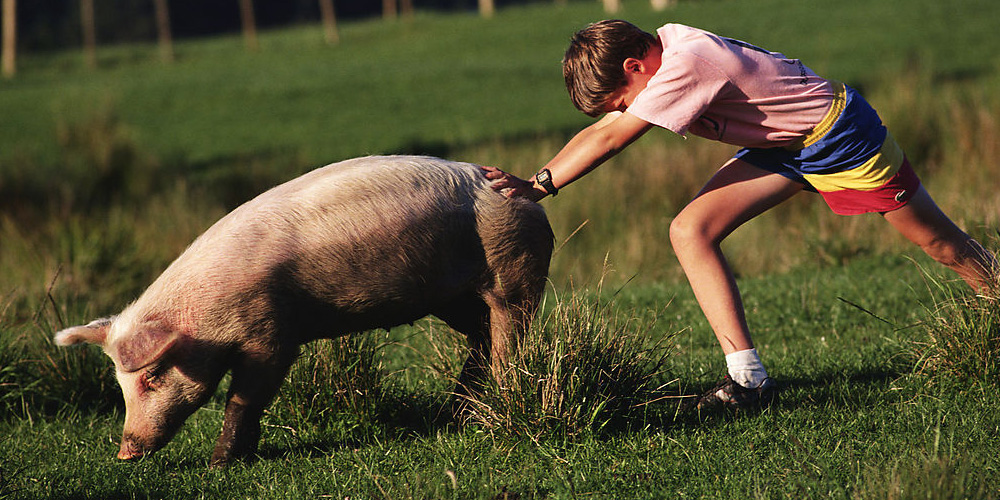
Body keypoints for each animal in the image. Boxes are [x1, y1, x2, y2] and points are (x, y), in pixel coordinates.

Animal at [52, 154, 556, 466]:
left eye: (153, 376)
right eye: (119, 384)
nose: (125, 453)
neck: (208, 316)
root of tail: (528, 201)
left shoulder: (270, 332)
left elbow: (245, 395)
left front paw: (218, 465)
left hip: (515, 270)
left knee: (509, 335)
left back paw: (497, 404)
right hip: (453, 298)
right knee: (479, 337)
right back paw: (454, 415)